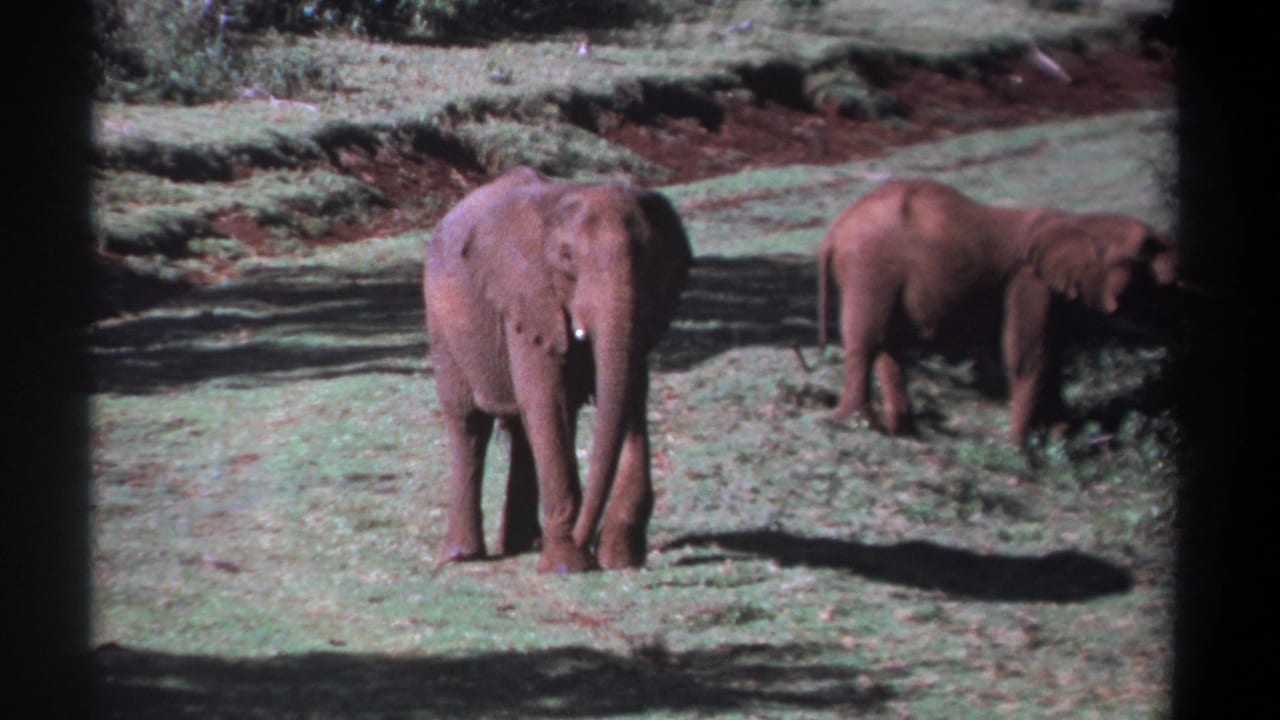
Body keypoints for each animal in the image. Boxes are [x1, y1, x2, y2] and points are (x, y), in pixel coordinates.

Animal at [424, 166, 692, 573]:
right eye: (566, 258)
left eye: (651, 257)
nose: (588, 541)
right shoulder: (527, 298)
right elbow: (547, 400)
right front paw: (568, 565)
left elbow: (630, 393)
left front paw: (620, 558)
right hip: (443, 326)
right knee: (469, 423)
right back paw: (462, 556)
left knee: (521, 428)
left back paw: (524, 544)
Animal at [816, 178, 1180, 444]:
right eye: (1146, 251)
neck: (1079, 222)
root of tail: (836, 229)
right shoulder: (1029, 281)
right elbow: (1028, 354)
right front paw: (1019, 446)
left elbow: (1053, 353)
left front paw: (1061, 436)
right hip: (870, 266)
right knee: (868, 341)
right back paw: (859, 422)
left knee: (888, 345)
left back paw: (905, 432)